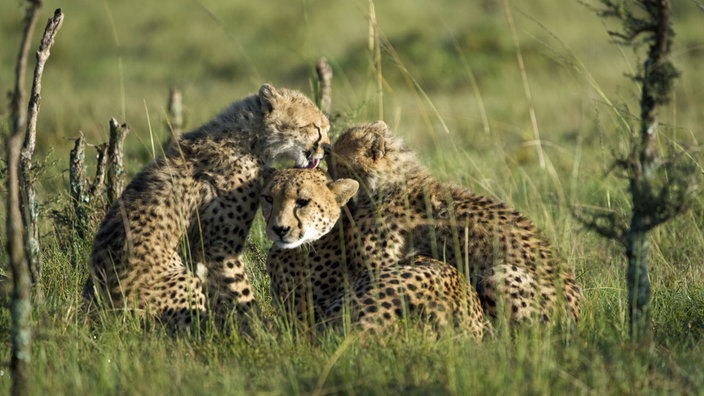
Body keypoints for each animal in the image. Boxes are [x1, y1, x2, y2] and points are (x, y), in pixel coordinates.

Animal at [85, 83, 330, 332]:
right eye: (316, 127)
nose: (327, 148)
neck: (250, 138)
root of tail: (97, 311)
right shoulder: (218, 246)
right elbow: (240, 291)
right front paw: (260, 331)